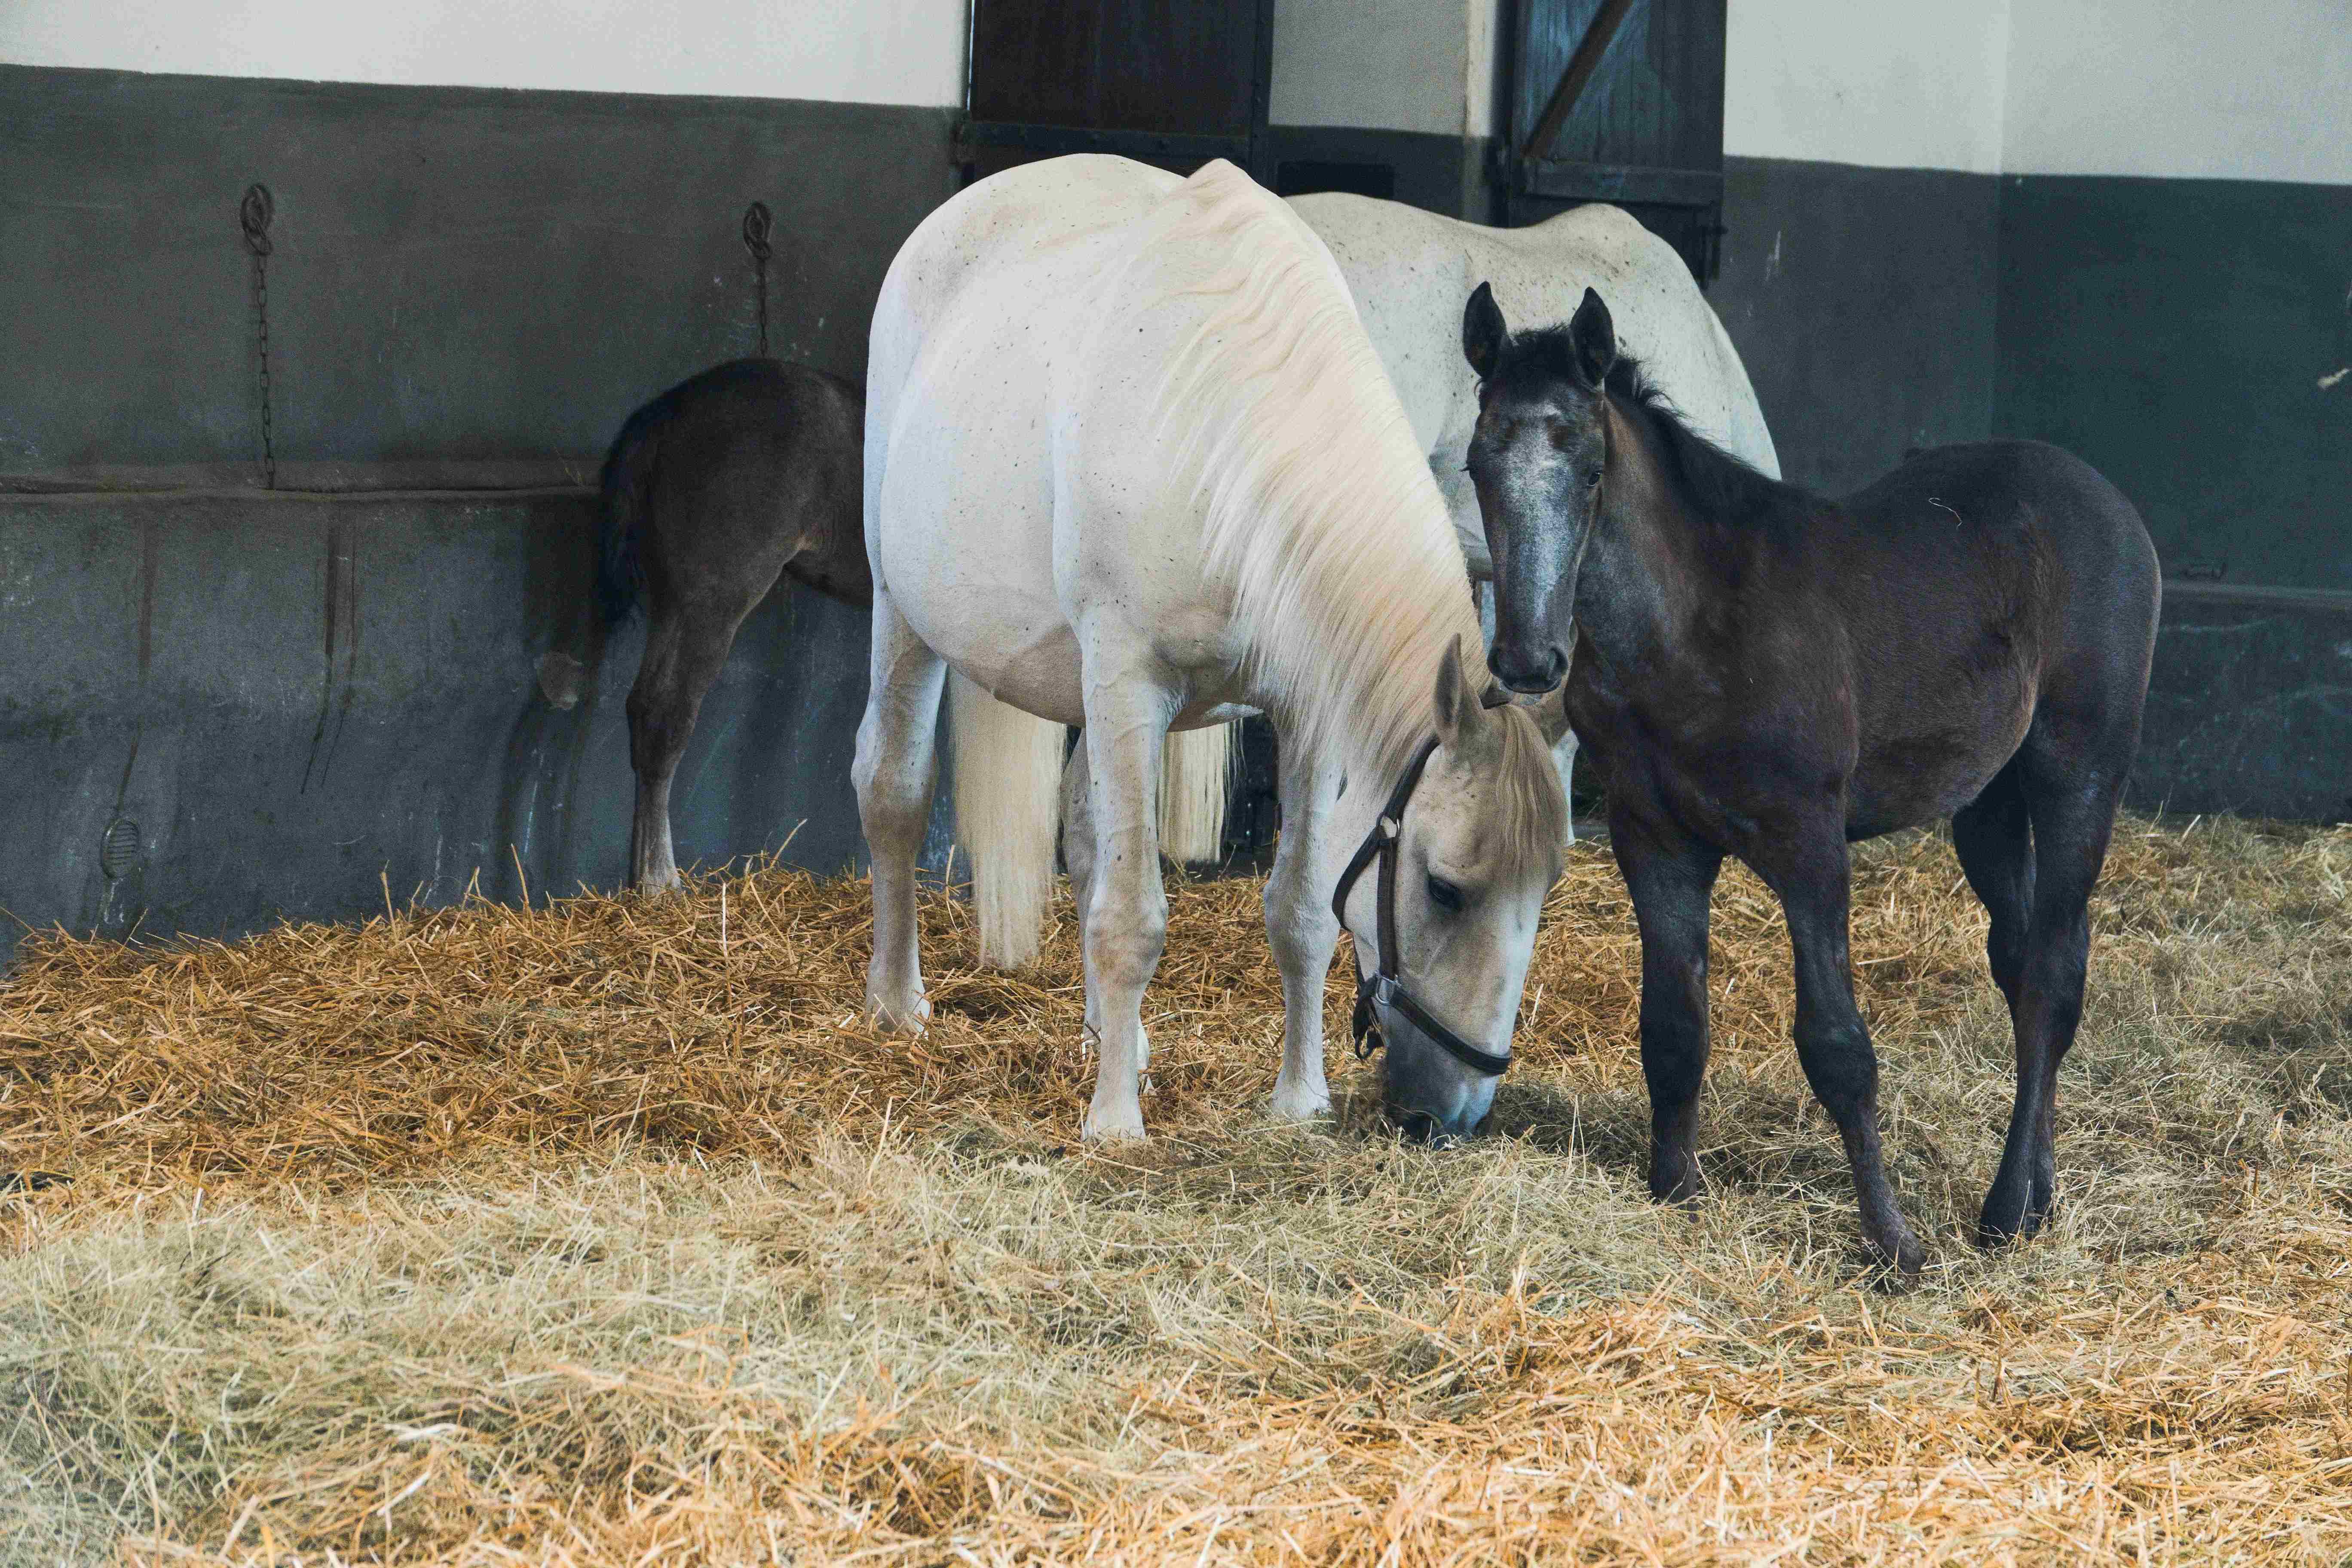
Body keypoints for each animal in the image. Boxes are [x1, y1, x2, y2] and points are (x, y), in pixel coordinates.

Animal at [597, 359, 875, 893]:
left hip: (675, 601)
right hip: (718, 600)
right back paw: (661, 882)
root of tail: (674, 407)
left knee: (642, 708)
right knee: (667, 715)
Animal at [856, 156, 1571, 1142]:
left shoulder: (1304, 712)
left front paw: (1299, 1100)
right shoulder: (1128, 682)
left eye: (1546, 890)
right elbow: (1132, 919)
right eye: (1444, 888)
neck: (1228, 436)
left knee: (1088, 837)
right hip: (905, 614)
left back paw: (1111, 1039)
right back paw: (898, 1004)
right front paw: (1115, 1124)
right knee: (893, 783)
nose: (1453, 1113)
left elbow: (1300, 908)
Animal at [1458, 285, 2154, 1279]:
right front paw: (1676, 1192)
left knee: (2054, 976)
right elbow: (1672, 1025)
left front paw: (1894, 1242)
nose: (1526, 658)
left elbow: (1837, 1045)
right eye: (1478, 462)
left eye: (1589, 471)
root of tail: (2102, 494)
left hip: (2078, 769)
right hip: (1986, 803)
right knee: (2027, 961)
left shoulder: (1809, 843)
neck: (1691, 629)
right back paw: (2040, 1194)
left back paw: (2004, 1211)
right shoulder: (1653, 839)